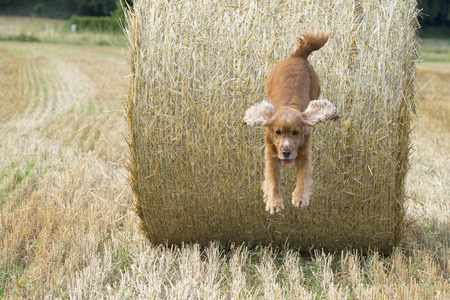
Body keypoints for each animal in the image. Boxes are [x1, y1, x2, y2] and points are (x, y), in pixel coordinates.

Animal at [241, 30, 340, 213]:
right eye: (277, 132)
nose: (286, 152)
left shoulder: (305, 155)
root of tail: (298, 54)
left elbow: (303, 177)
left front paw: (300, 198)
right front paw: (274, 203)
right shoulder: (271, 157)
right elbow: (273, 181)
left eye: (296, 132)